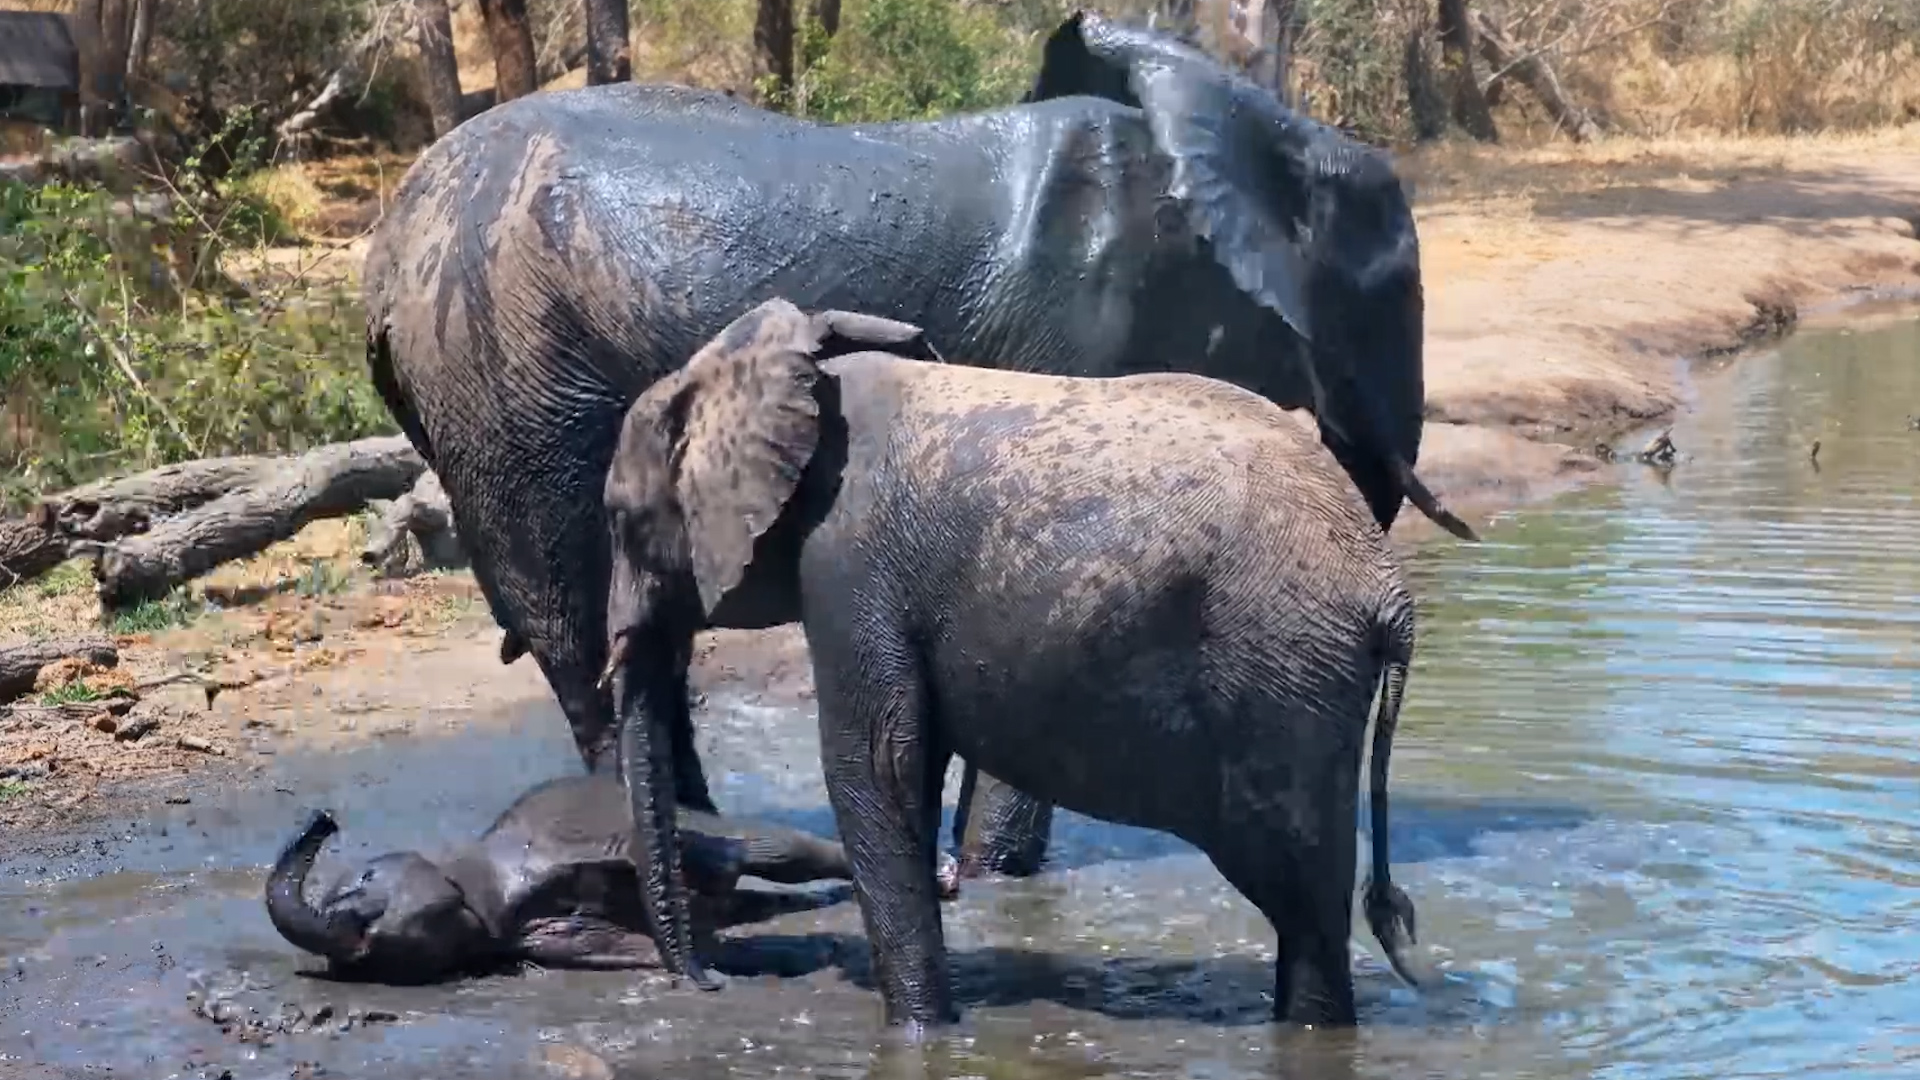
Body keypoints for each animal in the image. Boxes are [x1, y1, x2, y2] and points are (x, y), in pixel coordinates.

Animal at [360, 8, 1473, 907]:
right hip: (508, 381)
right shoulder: (1094, 319)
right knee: (581, 632)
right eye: (1398, 293)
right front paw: (992, 879)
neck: (1263, 134)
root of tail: (383, 258)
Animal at [599, 298, 1423, 1027]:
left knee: (1297, 894)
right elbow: (906, 764)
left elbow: (876, 766)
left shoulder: (848, 561)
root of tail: (1388, 588)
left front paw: (922, 1034)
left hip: (1280, 674)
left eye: (617, 516)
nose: (706, 984)